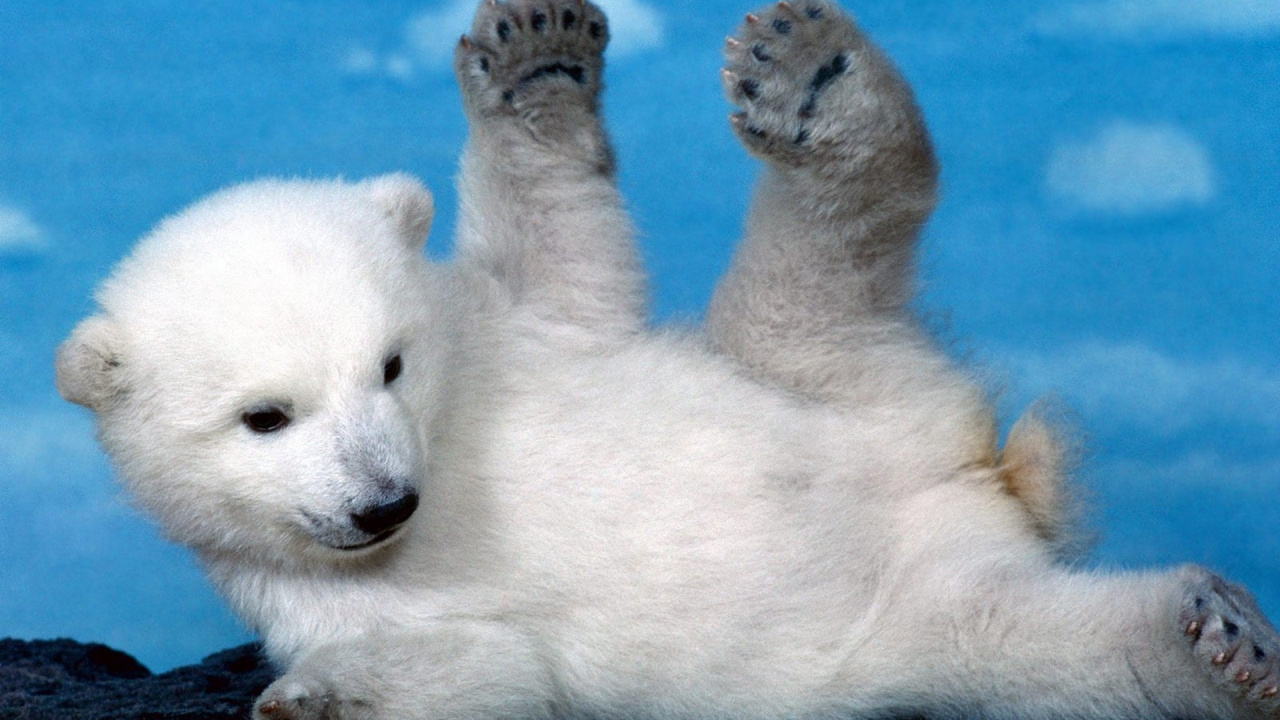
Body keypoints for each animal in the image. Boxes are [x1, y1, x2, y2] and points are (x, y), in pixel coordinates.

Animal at [55, 1, 1279, 719]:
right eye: (264, 417)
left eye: (391, 366)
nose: (386, 503)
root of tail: (973, 480)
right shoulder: (314, 593)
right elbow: (481, 669)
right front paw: (317, 702)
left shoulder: (516, 338)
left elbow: (567, 257)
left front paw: (534, 60)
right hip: (907, 612)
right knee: (1055, 651)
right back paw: (1215, 644)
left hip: (813, 381)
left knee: (823, 256)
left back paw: (815, 78)